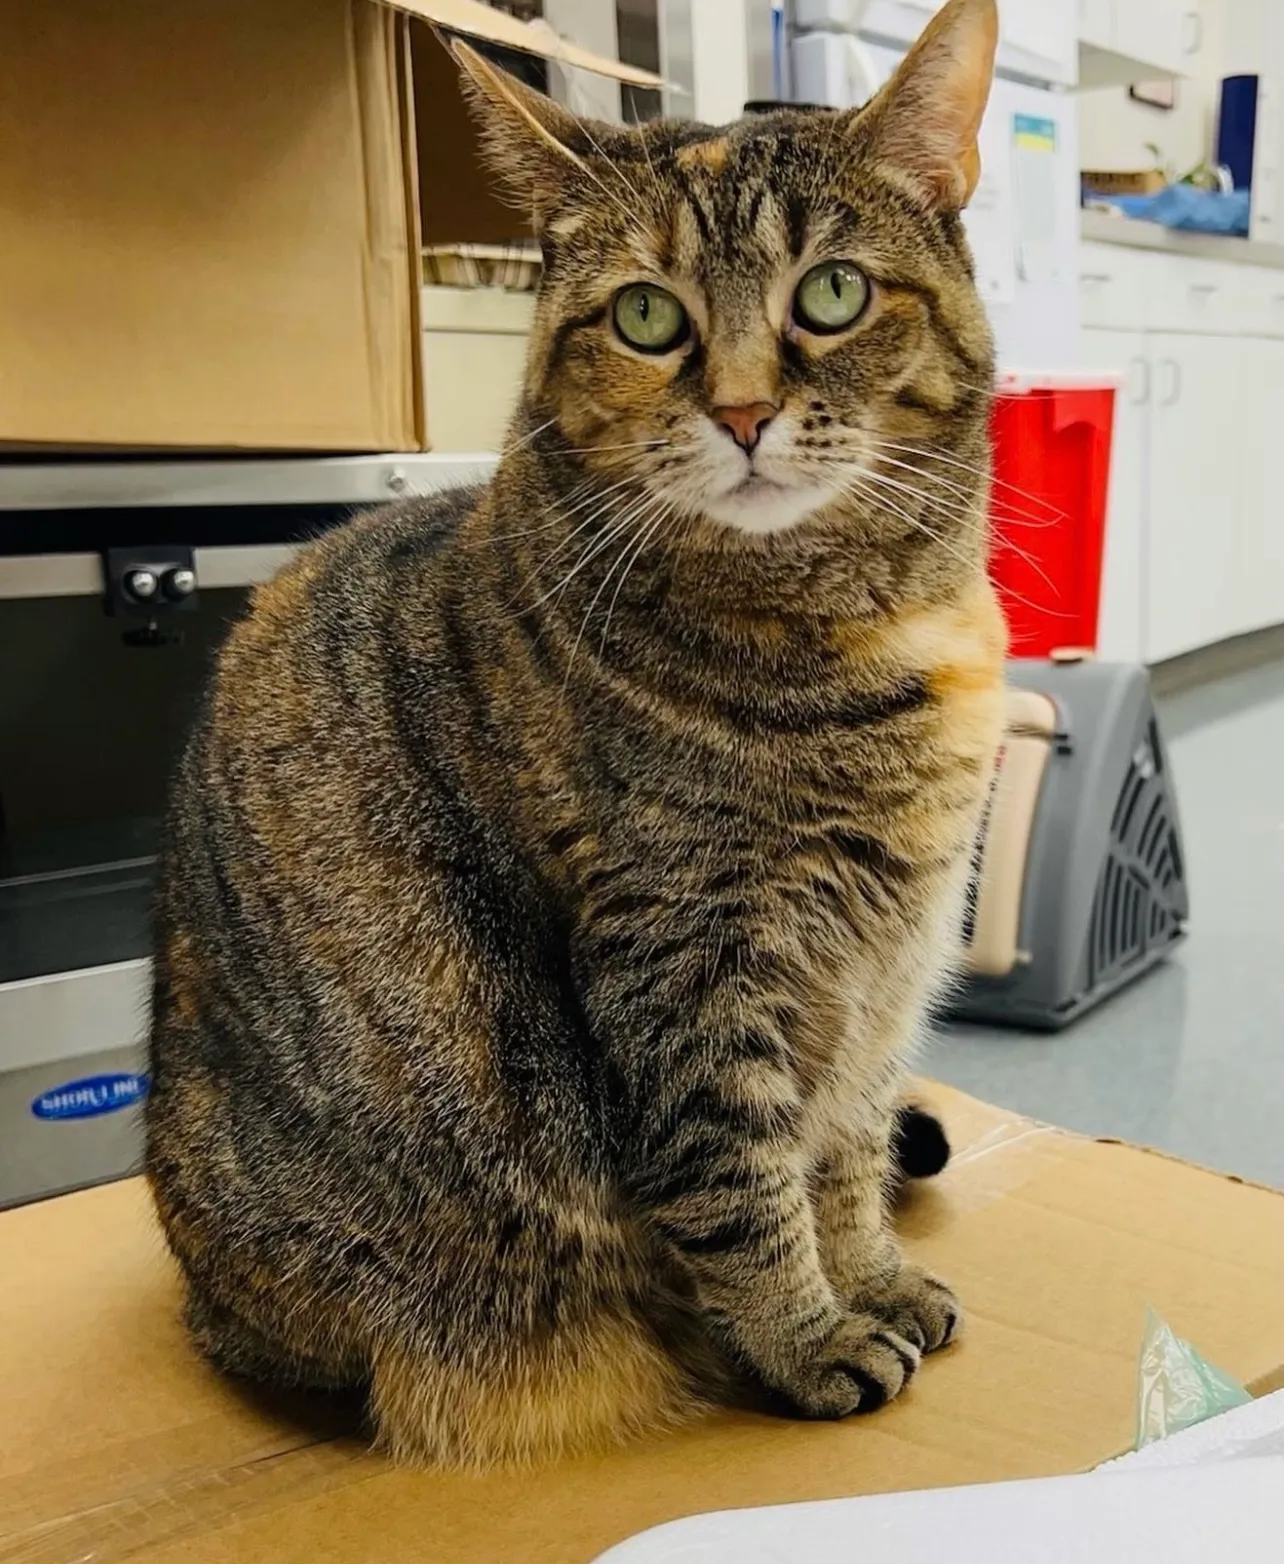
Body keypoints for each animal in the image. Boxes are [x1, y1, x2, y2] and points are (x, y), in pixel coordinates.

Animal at [145, 0, 1007, 1463]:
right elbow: (746, 1181)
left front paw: (874, 1276)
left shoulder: (882, 966)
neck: (868, 632)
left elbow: (844, 1148)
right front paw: (810, 1336)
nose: (741, 410)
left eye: (831, 294)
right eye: (647, 316)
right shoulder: (688, 963)